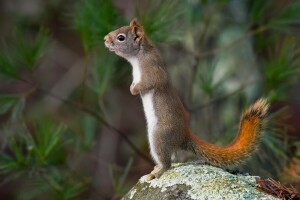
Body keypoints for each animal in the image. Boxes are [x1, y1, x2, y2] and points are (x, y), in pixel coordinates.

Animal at [103, 19, 270, 180]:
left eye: (121, 37)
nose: (105, 39)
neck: (139, 56)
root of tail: (184, 135)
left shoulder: (152, 68)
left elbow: (150, 82)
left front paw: (133, 89)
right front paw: (132, 87)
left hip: (159, 137)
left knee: (168, 163)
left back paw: (157, 172)